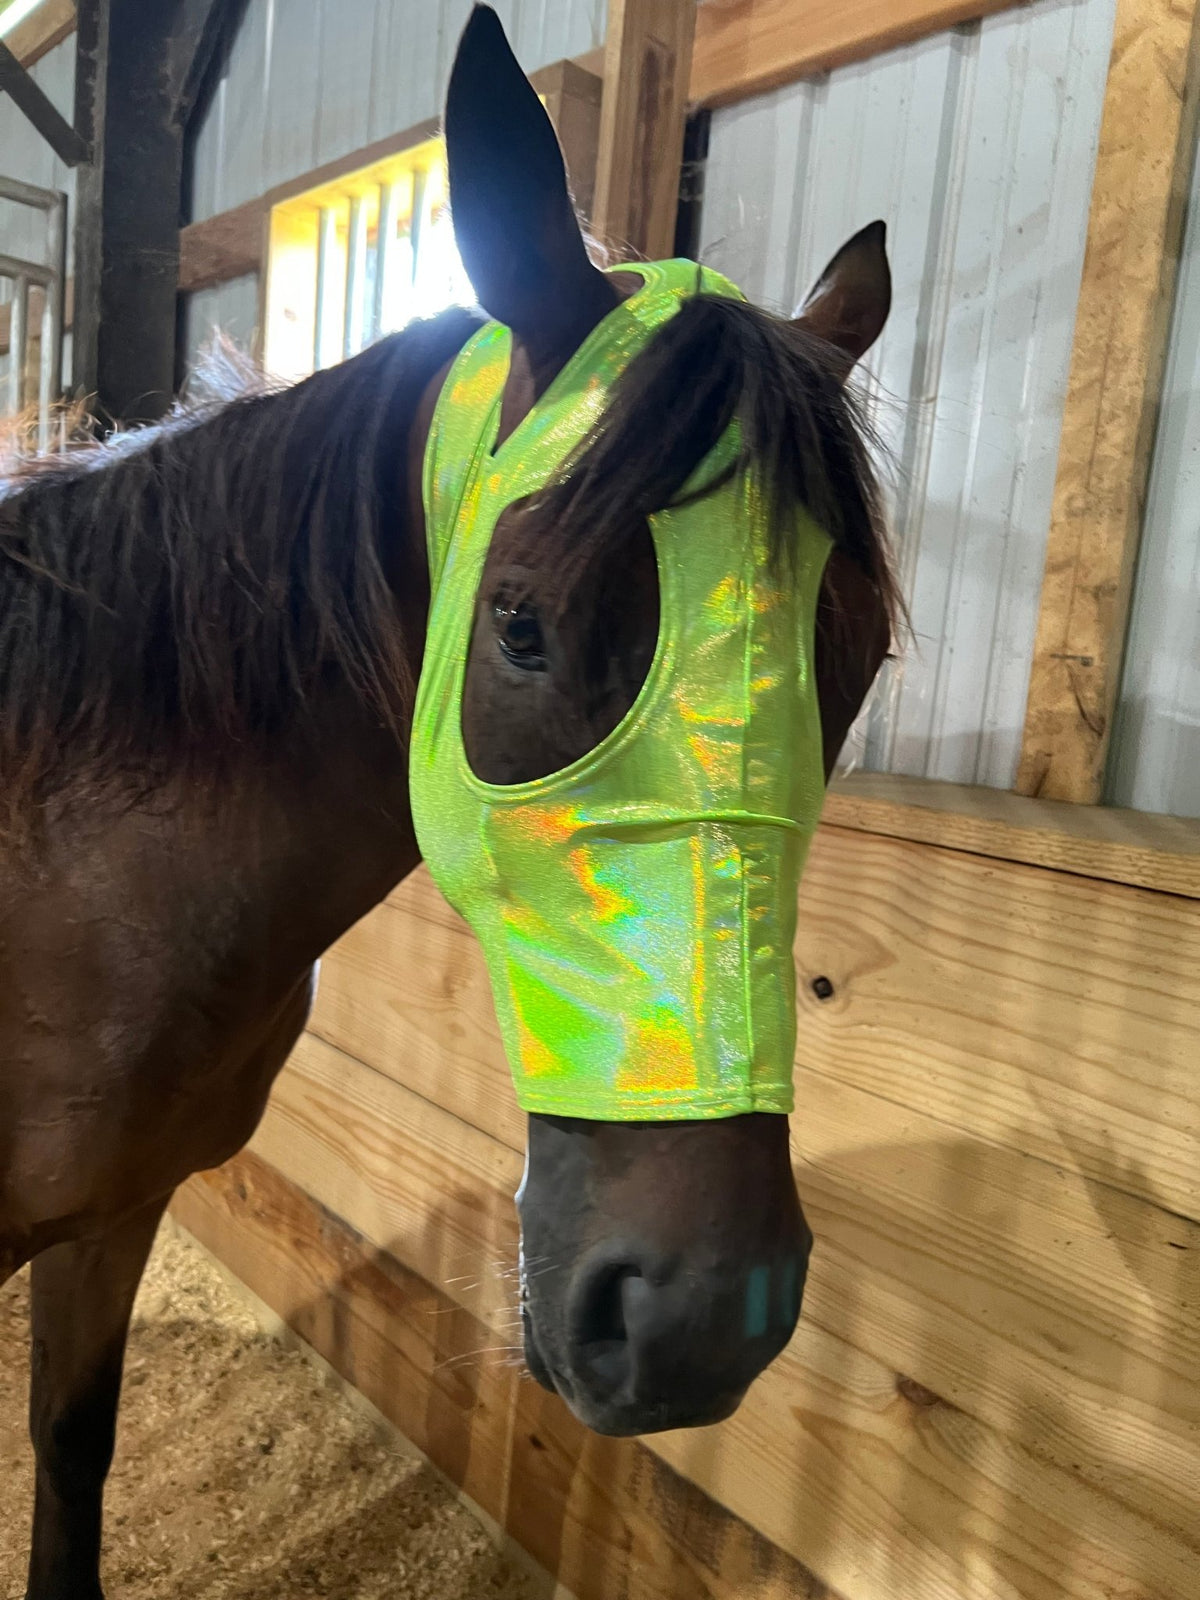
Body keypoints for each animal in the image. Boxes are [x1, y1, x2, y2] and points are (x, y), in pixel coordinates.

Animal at [0, 7, 899, 1595]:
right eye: (522, 624)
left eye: (847, 661)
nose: (693, 1317)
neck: (66, 876)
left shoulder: (107, 1215)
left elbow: (70, 1453)